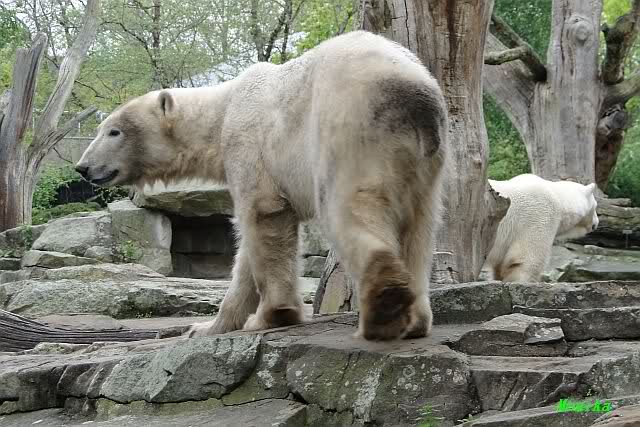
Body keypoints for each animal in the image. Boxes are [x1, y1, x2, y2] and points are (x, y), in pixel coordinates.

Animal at [75, 30, 449, 341]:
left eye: (114, 131)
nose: (83, 167)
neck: (223, 111)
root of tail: (413, 91)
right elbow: (244, 255)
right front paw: (206, 327)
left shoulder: (248, 145)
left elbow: (263, 217)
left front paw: (271, 315)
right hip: (425, 160)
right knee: (420, 226)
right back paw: (416, 319)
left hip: (350, 130)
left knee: (348, 210)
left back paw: (383, 311)